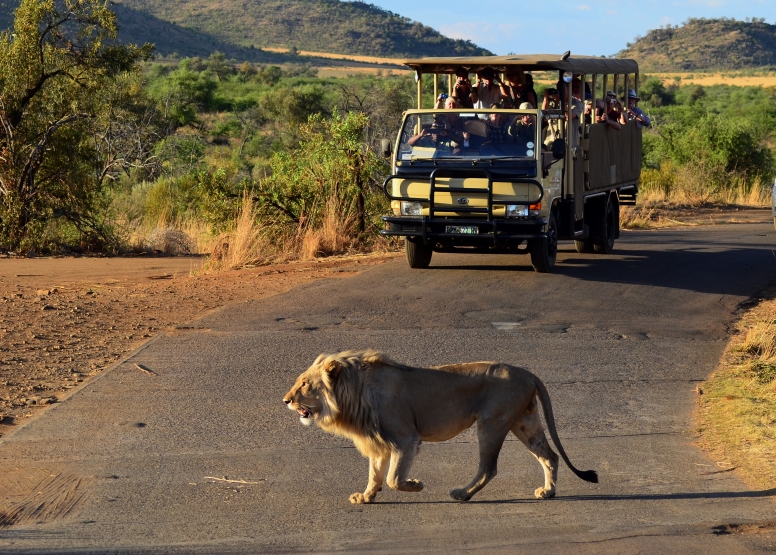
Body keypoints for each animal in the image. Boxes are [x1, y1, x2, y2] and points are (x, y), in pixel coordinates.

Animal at [282, 352, 596, 504]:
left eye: (304, 384)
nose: (285, 400)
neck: (353, 392)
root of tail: (529, 374)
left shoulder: (406, 438)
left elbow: (394, 478)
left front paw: (415, 485)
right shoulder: (378, 442)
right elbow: (375, 474)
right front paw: (366, 497)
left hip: (491, 423)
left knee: (489, 467)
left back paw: (463, 494)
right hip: (524, 422)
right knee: (549, 456)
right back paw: (548, 491)